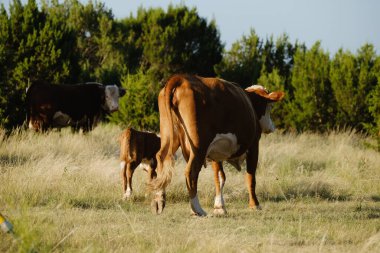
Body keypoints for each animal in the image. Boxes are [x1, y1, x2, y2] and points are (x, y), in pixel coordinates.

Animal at [150, 74, 284, 215]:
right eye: (269, 107)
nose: (272, 127)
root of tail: (182, 79)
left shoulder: (215, 152)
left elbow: (219, 177)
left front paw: (219, 207)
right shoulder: (253, 145)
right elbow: (250, 177)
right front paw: (255, 205)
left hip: (171, 135)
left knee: (162, 158)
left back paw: (159, 201)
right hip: (199, 146)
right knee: (191, 171)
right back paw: (197, 210)